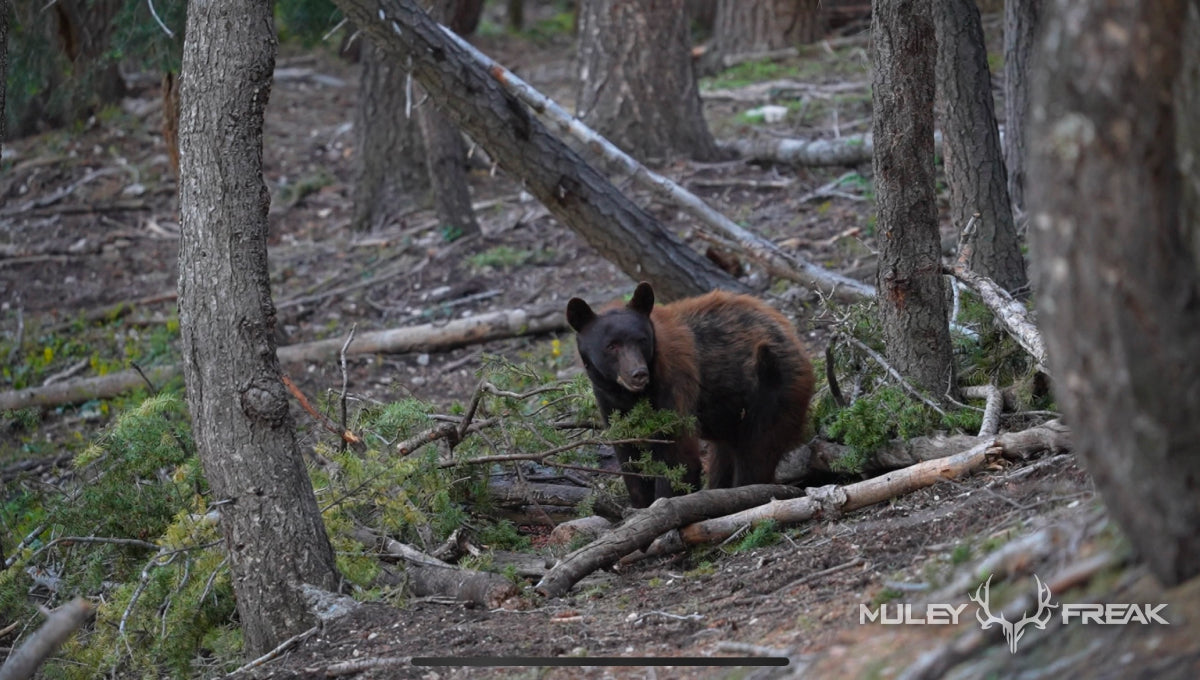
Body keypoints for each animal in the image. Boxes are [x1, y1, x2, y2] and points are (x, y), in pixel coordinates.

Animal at [564, 279, 816, 508]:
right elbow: (630, 461)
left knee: (756, 453)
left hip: (772, 389)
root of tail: (796, 339)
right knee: (725, 456)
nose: (638, 374)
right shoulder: (610, 405)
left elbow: (678, 456)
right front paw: (640, 505)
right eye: (611, 346)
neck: (630, 394)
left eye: (641, 340)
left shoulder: (674, 386)